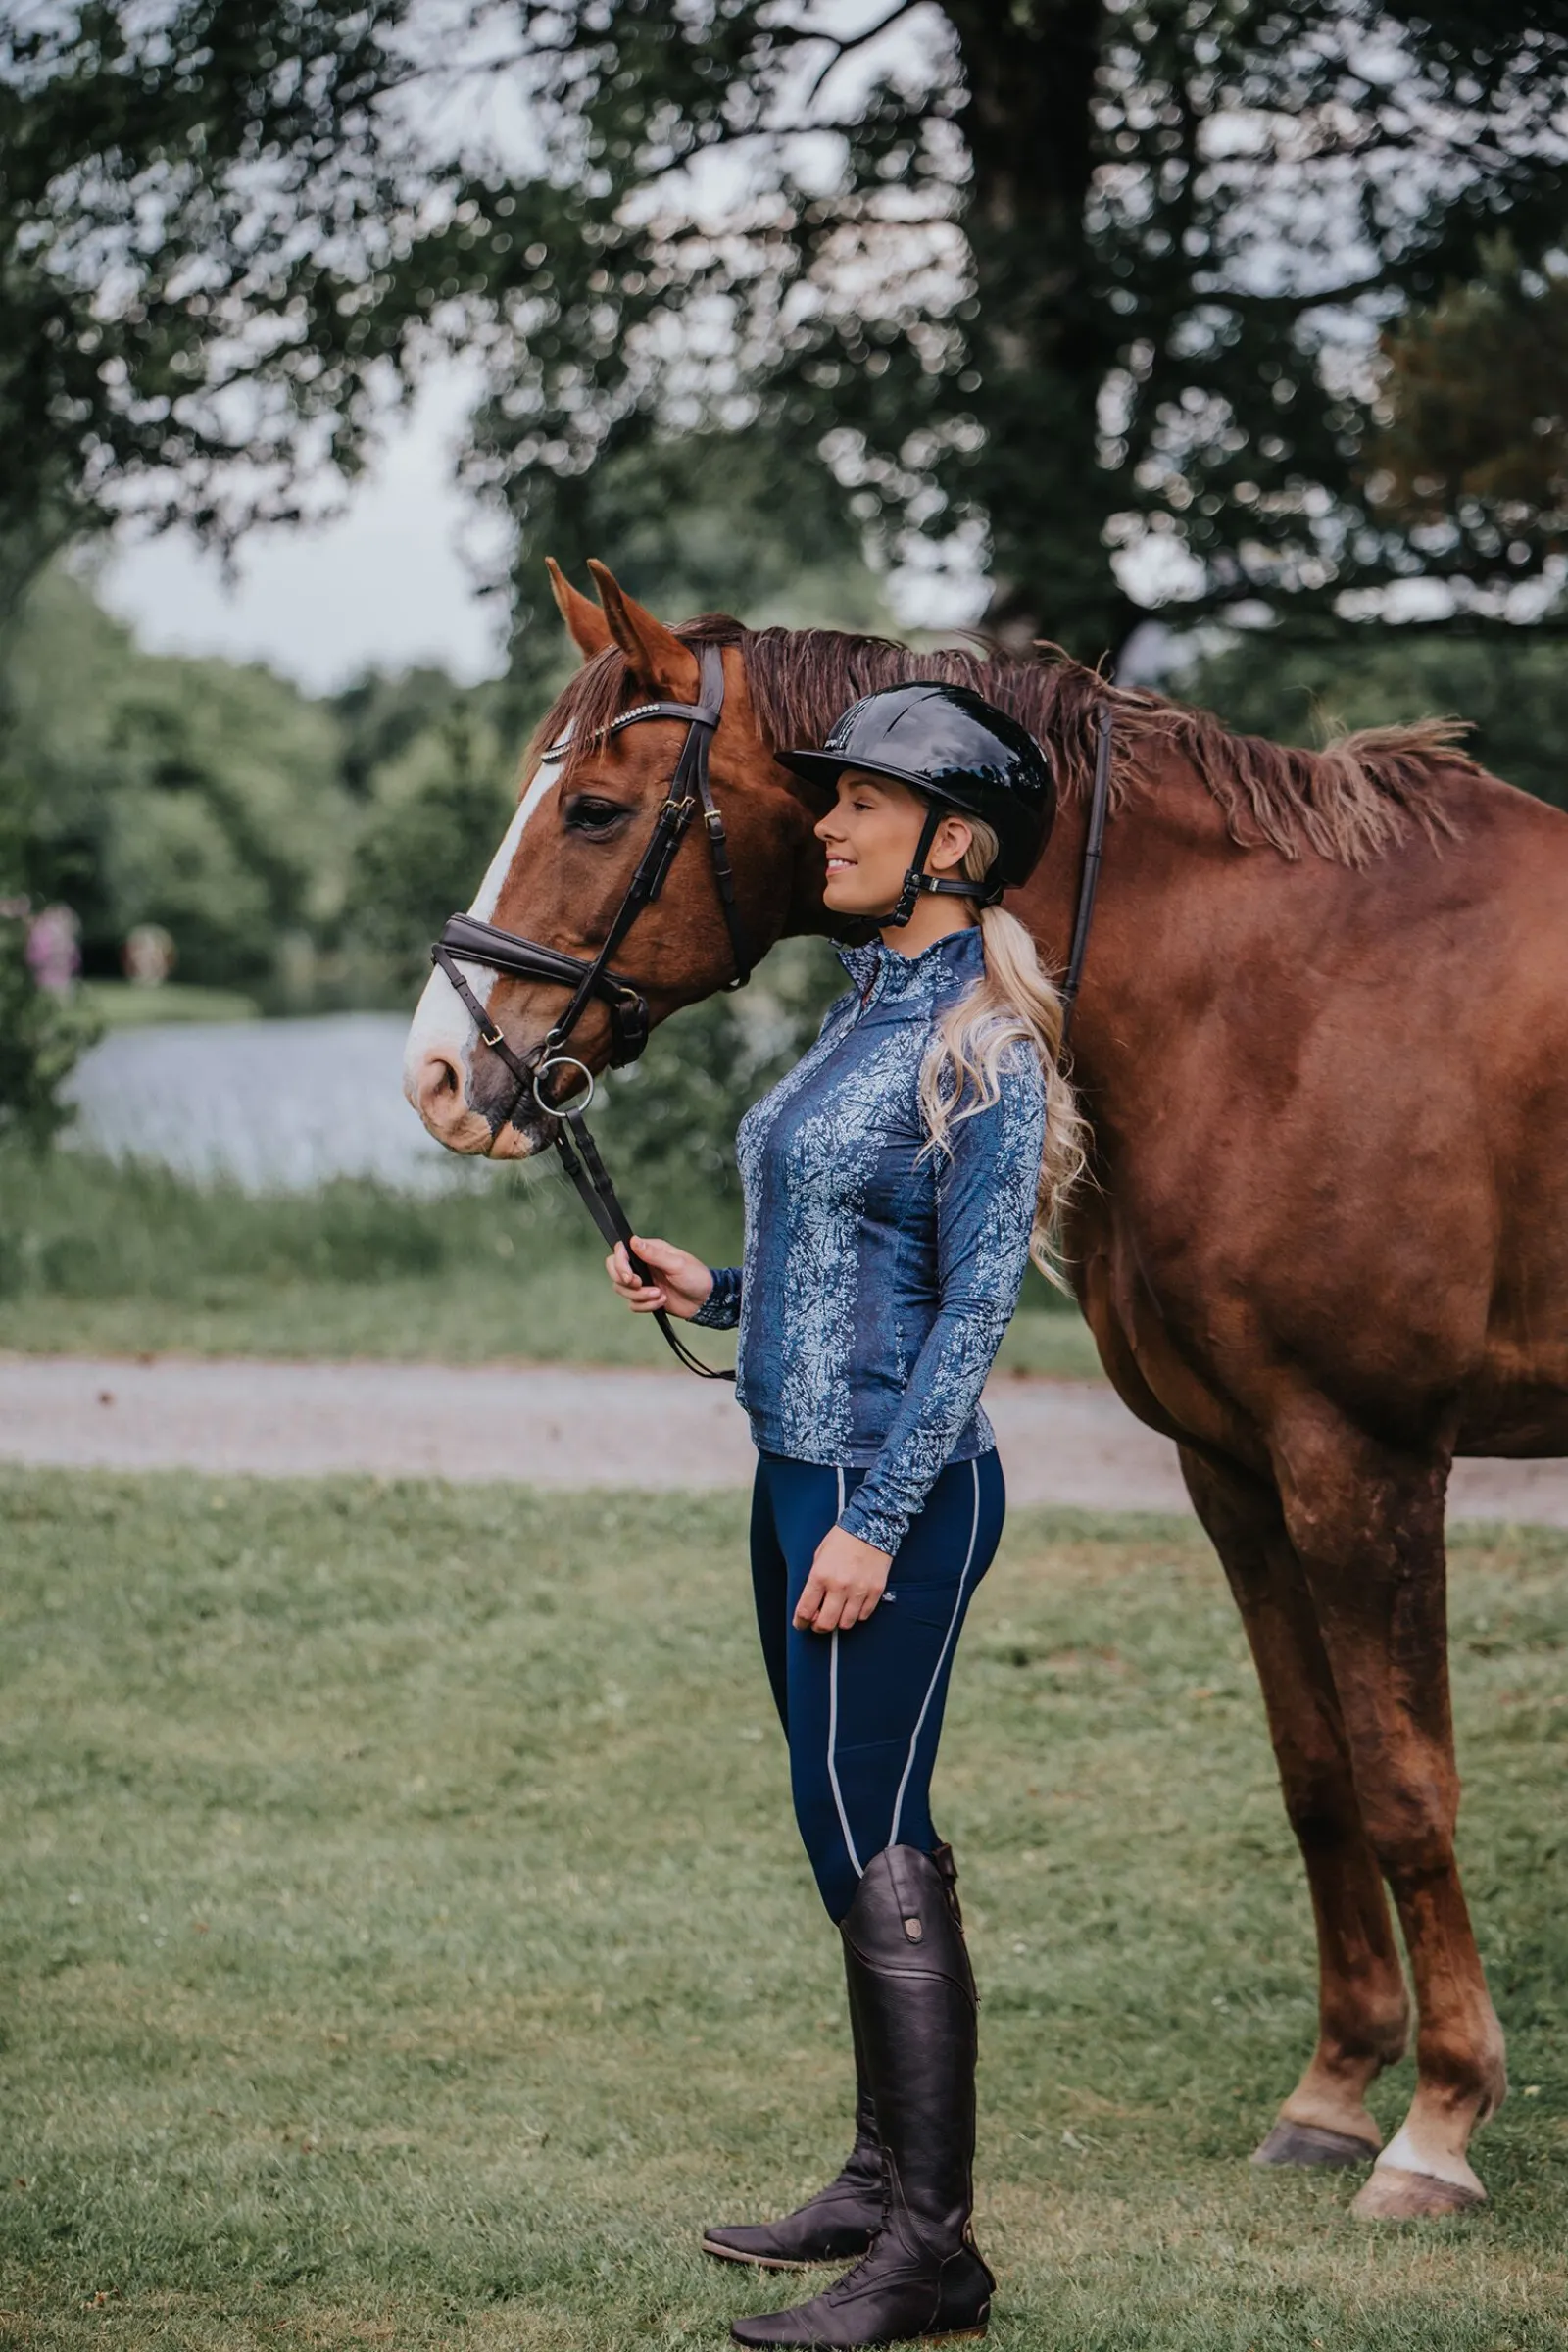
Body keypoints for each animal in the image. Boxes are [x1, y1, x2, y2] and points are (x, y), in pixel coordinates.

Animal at [404, 556, 1568, 2223]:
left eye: (599, 811)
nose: (441, 1078)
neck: (1283, 999)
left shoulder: (1368, 1461)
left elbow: (1410, 1787)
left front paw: (1439, 2128)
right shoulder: (1240, 1466)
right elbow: (1318, 1776)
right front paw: (1336, 2093)